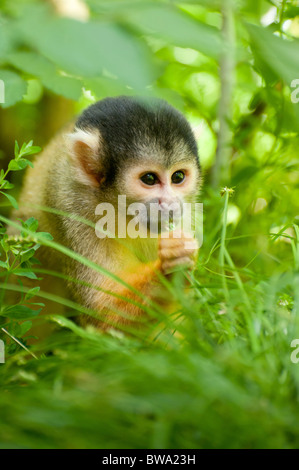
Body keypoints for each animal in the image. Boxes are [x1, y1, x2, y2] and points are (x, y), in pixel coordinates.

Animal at [12, 96, 203, 330]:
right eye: (149, 179)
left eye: (178, 177)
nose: (171, 204)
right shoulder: (75, 207)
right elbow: (102, 313)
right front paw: (172, 266)